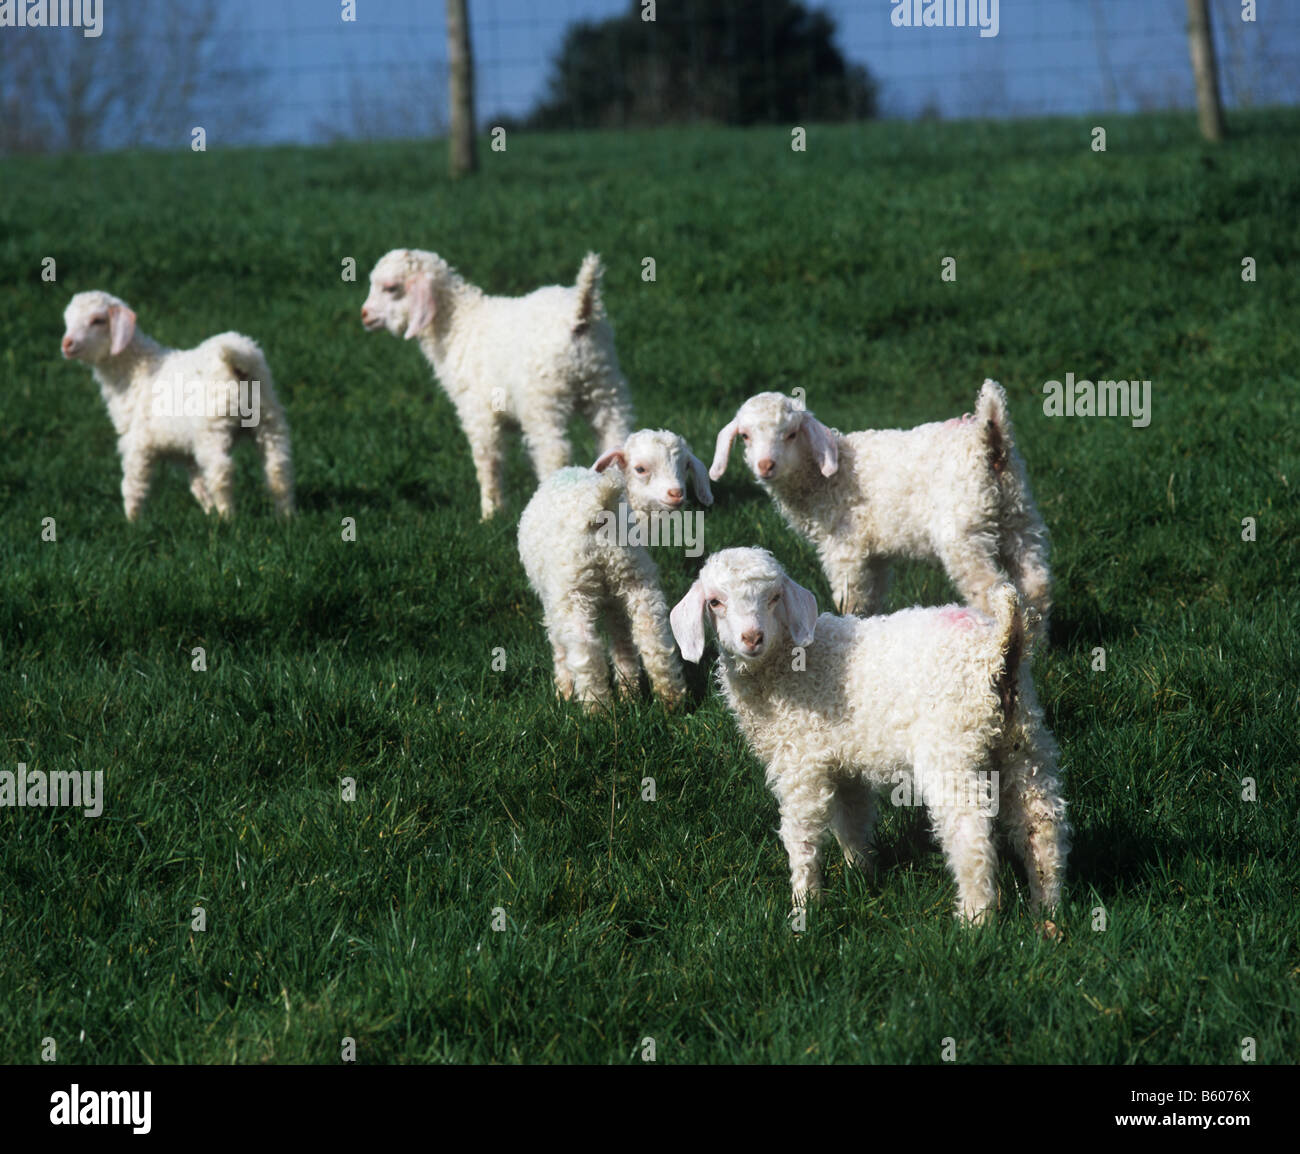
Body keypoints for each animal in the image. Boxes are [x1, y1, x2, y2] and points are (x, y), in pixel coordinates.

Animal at [61, 291, 295, 519]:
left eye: (97, 320)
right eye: (68, 320)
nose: (67, 343)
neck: (135, 370)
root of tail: (240, 357)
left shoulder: (137, 442)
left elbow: (133, 484)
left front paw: (132, 522)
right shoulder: (184, 450)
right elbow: (198, 484)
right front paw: (208, 512)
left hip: (213, 427)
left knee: (222, 471)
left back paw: (228, 518)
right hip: (268, 419)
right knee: (278, 468)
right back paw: (286, 517)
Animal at [361, 254, 634, 525]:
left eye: (390, 288)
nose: (364, 315)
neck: (459, 324)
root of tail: (579, 313)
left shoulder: (478, 413)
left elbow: (488, 461)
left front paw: (490, 514)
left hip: (544, 397)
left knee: (554, 451)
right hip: (605, 385)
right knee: (614, 438)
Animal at [665, 545, 1071, 925]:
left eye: (775, 596)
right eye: (715, 602)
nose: (752, 637)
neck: (789, 664)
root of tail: (997, 650)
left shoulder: (800, 763)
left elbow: (801, 834)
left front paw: (804, 904)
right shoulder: (844, 763)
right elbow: (852, 822)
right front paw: (859, 876)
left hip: (953, 749)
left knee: (971, 835)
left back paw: (975, 921)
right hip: (1024, 740)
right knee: (1041, 822)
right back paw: (1046, 912)